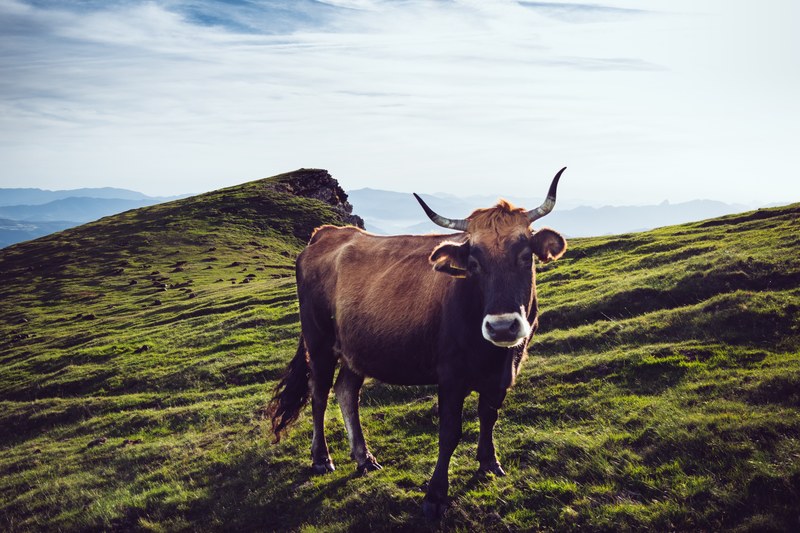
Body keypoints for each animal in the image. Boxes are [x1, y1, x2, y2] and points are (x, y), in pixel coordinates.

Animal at [267, 168, 568, 519]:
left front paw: (489, 463)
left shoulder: (506, 370)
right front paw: (435, 494)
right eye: (474, 263)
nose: (502, 326)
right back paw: (321, 459)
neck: (492, 356)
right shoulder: (450, 374)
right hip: (319, 342)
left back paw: (364, 458)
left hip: (357, 348)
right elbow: (449, 432)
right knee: (319, 395)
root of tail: (327, 234)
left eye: (525, 256)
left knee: (345, 391)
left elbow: (488, 416)